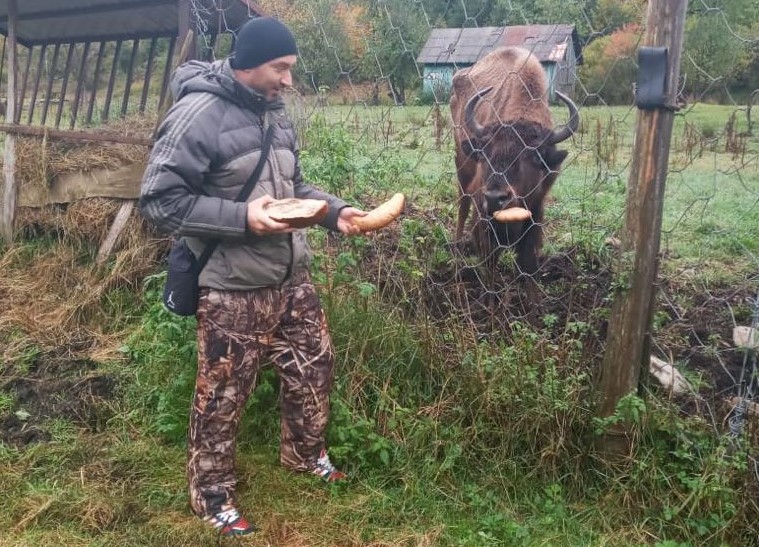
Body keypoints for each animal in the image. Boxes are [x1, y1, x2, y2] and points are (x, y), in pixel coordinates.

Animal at [452, 46, 580, 308]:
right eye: (485, 153)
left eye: (534, 157)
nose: (495, 198)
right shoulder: (484, 211)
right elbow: (490, 256)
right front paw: (489, 303)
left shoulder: (537, 207)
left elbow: (529, 259)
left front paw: (534, 307)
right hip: (462, 167)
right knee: (462, 206)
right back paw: (459, 249)